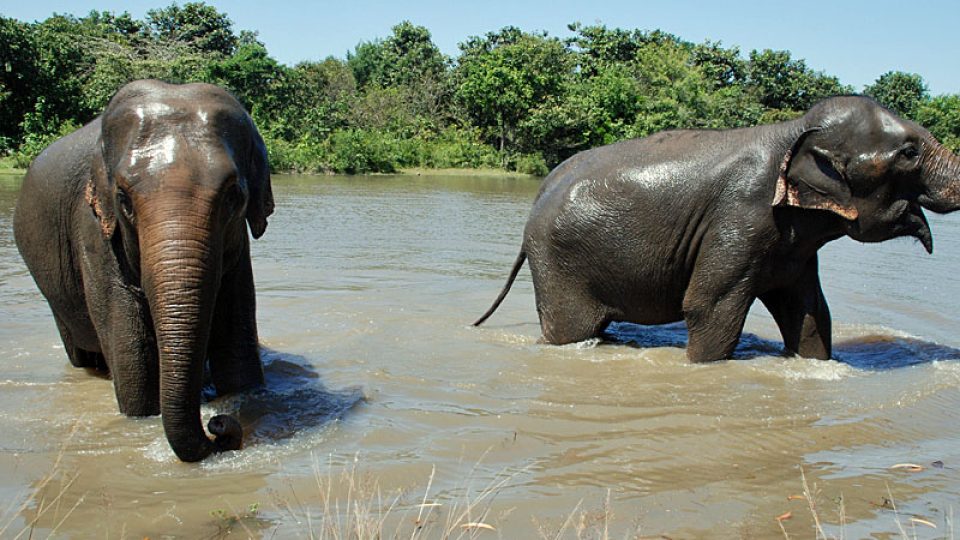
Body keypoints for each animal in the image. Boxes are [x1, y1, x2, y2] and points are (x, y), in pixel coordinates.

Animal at [14, 79, 274, 460]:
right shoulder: (94, 230)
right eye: (123, 199)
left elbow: (236, 347)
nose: (218, 425)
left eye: (233, 196)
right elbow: (134, 362)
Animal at [476, 96, 960, 362]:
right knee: (572, 334)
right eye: (910, 153)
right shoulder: (739, 217)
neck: (794, 130)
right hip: (560, 266)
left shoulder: (793, 244)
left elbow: (809, 313)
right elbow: (709, 307)